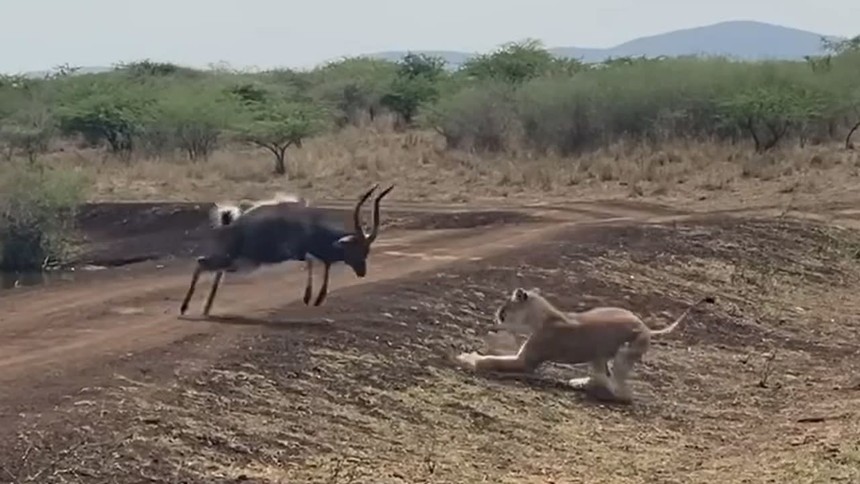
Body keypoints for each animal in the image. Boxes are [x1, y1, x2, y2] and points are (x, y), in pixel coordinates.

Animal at [183, 183, 398, 316]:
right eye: (355, 249)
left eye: (366, 250)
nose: (362, 272)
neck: (308, 225)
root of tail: (231, 222)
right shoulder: (297, 251)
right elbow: (313, 261)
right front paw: (309, 297)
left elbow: (324, 264)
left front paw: (317, 298)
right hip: (234, 260)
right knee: (201, 263)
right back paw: (185, 309)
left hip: (238, 262)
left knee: (213, 269)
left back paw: (206, 308)